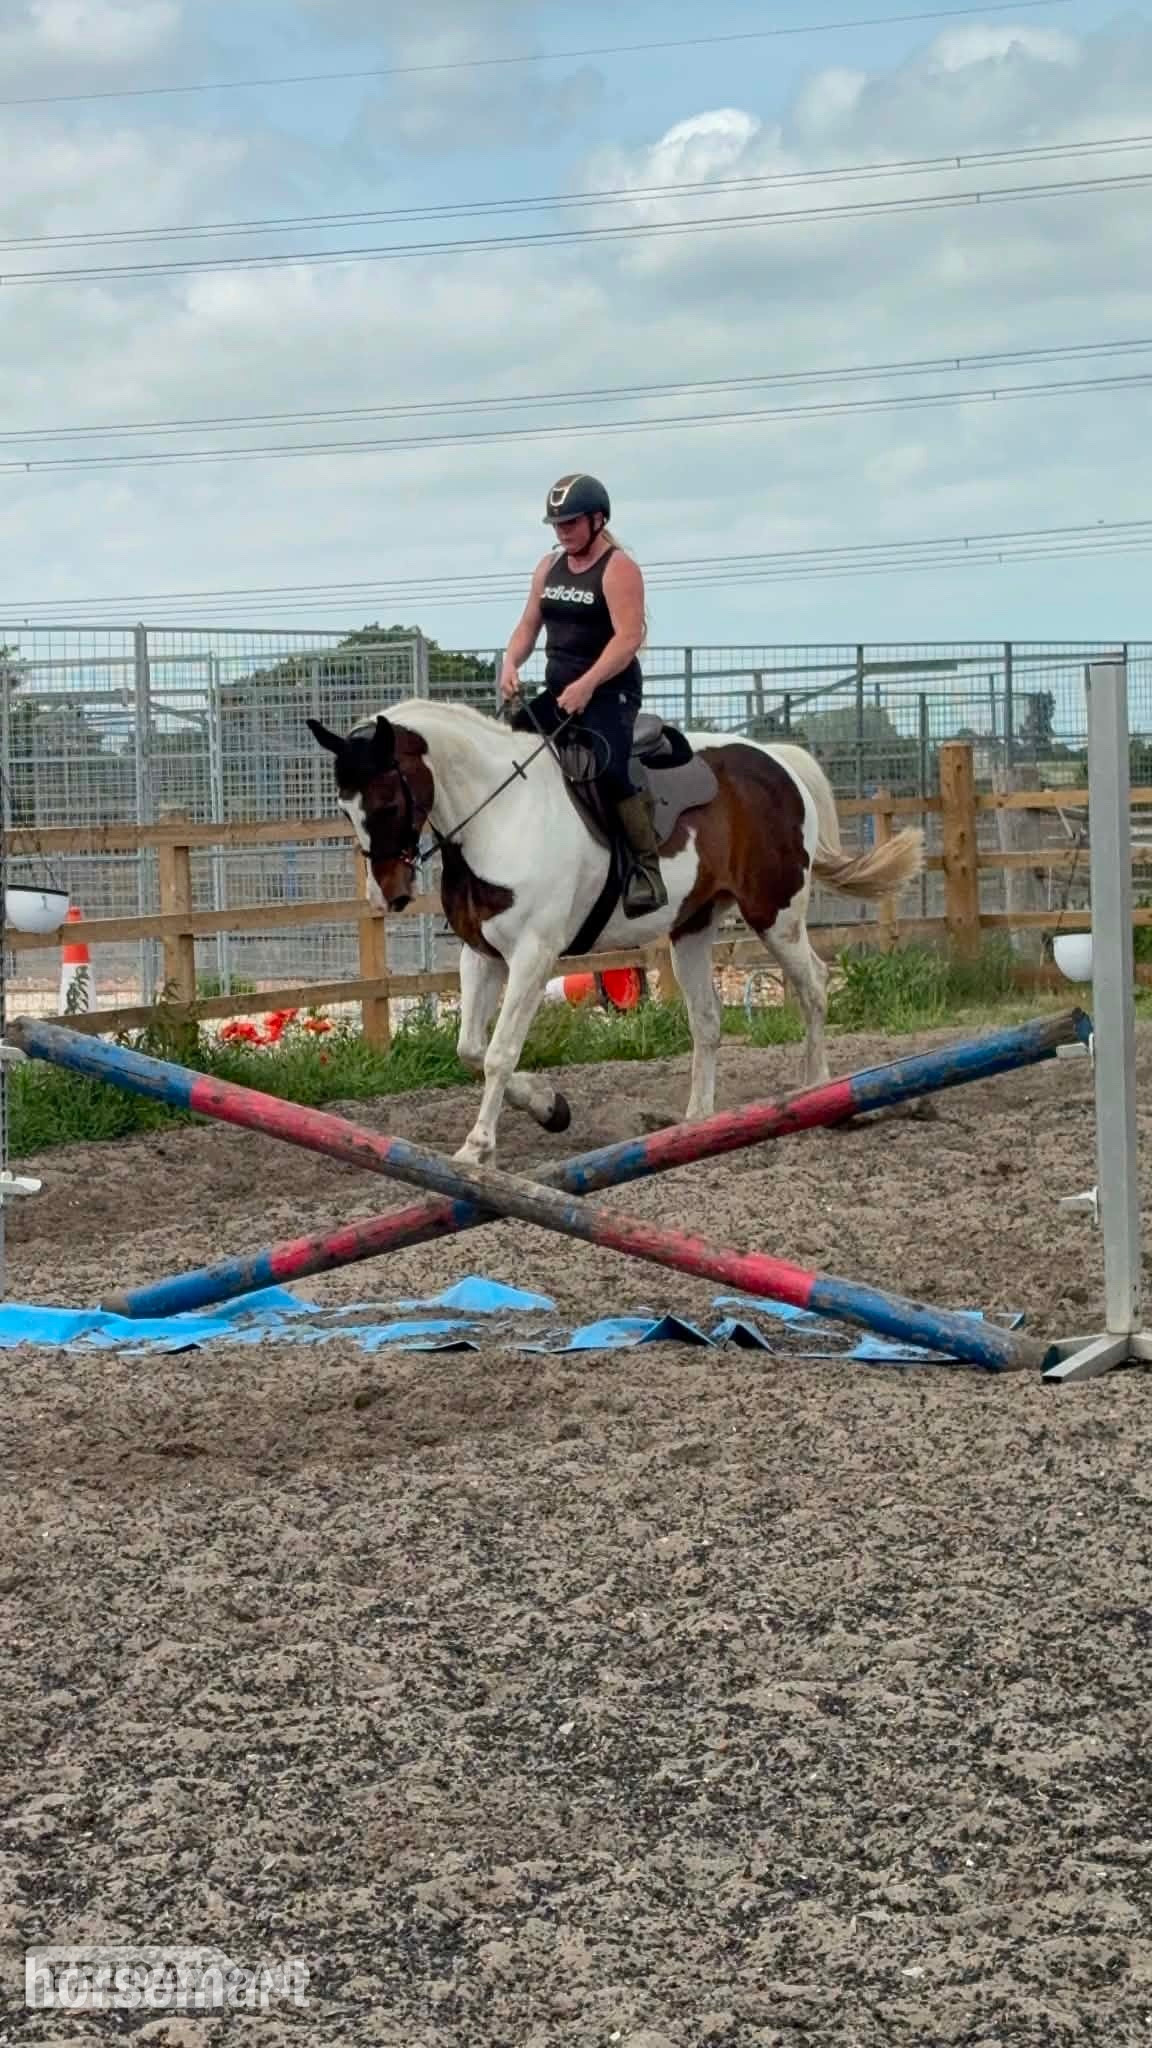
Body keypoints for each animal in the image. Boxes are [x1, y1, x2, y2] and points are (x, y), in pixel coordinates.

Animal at [307, 700, 924, 1166]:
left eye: (388, 801)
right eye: (345, 808)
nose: (387, 895)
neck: (500, 819)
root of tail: (778, 761)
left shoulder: (533, 955)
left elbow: (499, 1053)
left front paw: (477, 1147)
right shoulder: (482, 955)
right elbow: (469, 1048)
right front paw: (549, 1107)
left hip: (776, 913)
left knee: (814, 986)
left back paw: (818, 1093)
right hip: (693, 927)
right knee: (708, 1019)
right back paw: (697, 1121)